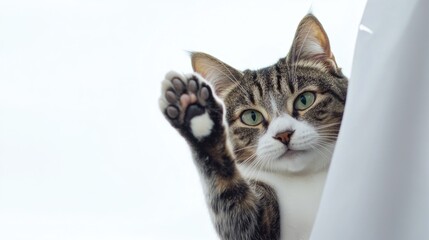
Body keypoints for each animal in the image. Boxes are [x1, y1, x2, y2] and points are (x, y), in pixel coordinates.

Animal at [159, 14, 346, 239]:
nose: (284, 134)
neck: (303, 179)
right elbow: (238, 210)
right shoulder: (256, 218)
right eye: (251, 116)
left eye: (304, 100)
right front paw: (198, 118)